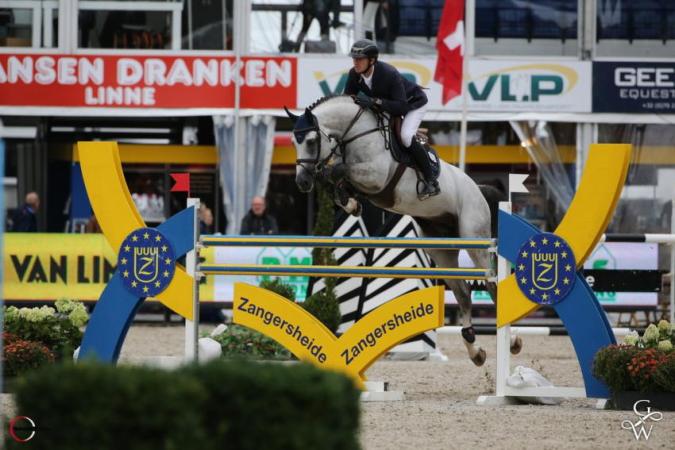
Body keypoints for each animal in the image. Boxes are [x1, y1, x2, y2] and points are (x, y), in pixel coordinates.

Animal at [286, 95, 522, 366]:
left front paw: (348, 197)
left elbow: (337, 170)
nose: (302, 182)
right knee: (463, 293)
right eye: (293, 142)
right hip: (442, 249)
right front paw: (351, 203)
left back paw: (512, 341)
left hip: (475, 238)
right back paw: (475, 349)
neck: (356, 133)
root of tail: (477, 188)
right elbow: (337, 176)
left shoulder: (376, 177)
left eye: (311, 141)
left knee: (492, 286)